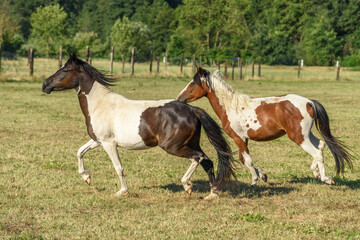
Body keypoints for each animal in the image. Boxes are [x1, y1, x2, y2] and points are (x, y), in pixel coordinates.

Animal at [41, 54, 236, 199]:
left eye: (66, 69)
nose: (44, 85)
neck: (100, 104)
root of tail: (193, 109)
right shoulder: (98, 140)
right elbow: (80, 152)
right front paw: (87, 177)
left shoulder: (108, 143)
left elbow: (118, 167)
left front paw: (122, 191)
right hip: (189, 143)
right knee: (207, 161)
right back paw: (212, 193)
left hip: (173, 146)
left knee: (198, 158)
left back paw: (187, 185)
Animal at [176, 67, 352, 186]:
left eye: (192, 83)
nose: (179, 98)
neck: (231, 107)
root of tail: (309, 102)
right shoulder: (244, 139)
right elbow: (244, 159)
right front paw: (263, 176)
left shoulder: (238, 138)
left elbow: (247, 161)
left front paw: (254, 182)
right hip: (306, 134)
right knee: (321, 145)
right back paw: (317, 173)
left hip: (299, 137)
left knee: (317, 152)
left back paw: (326, 178)